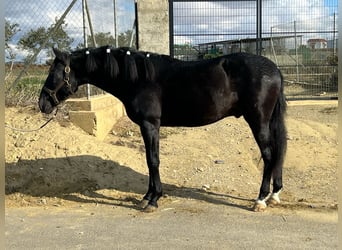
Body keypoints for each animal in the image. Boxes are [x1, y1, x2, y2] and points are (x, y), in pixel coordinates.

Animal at [38, 46, 288, 212]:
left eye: (54, 73)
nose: (42, 103)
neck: (138, 77)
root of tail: (274, 69)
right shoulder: (148, 126)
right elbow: (150, 161)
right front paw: (147, 196)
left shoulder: (150, 125)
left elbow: (153, 161)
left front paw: (153, 199)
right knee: (276, 154)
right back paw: (274, 194)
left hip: (258, 120)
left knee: (269, 155)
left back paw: (260, 200)